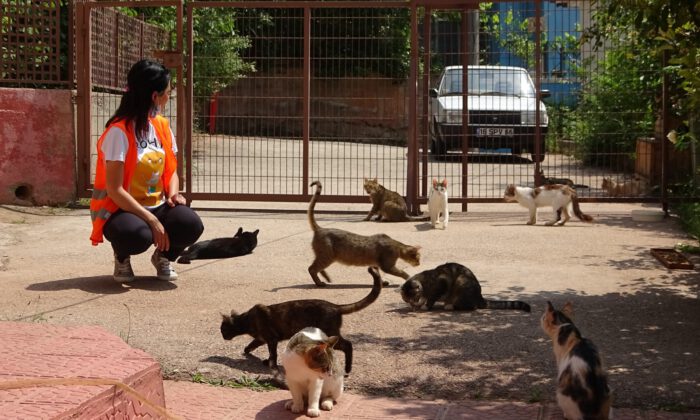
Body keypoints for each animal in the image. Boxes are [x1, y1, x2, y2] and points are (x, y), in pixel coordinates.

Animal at [221, 268, 382, 372]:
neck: (246, 320)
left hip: (330, 333)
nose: (222, 336)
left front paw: (271, 364)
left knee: (348, 345)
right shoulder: (262, 338)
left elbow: (273, 353)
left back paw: (347, 369)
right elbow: (251, 345)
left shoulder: (271, 339)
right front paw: (249, 353)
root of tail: (335, 306)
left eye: (222, 329)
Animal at [400, 262, 532, 312]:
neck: (425, 281)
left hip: (461, 281)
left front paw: (426, 306)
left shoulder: (442, 282)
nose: (412, 306)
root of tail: (480, 298)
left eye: (414, 298)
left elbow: (432, 297)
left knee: (471, 307)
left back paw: (450, 306)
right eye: (407, 301)